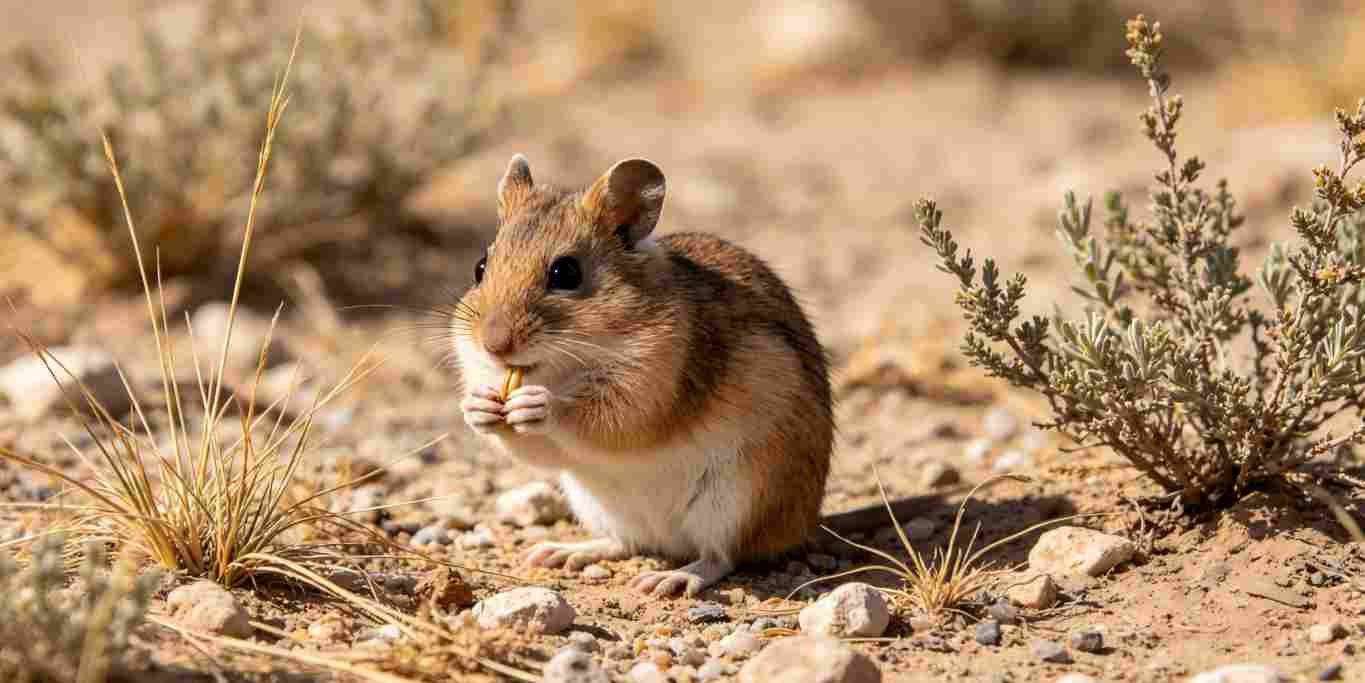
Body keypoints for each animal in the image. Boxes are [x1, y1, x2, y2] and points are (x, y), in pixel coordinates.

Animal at [451, 154, 834, 597]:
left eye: (566, 273)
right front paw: (477, 407)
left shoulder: (646, 390)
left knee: (721, 557)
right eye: (480, 268)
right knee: (626, 543)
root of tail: (802, 526)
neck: (562, 369)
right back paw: (561, 552)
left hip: (736, 497)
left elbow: (595, 418)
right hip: (594, 502)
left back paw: (669, 578)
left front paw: (538, 404)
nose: (493, 346)